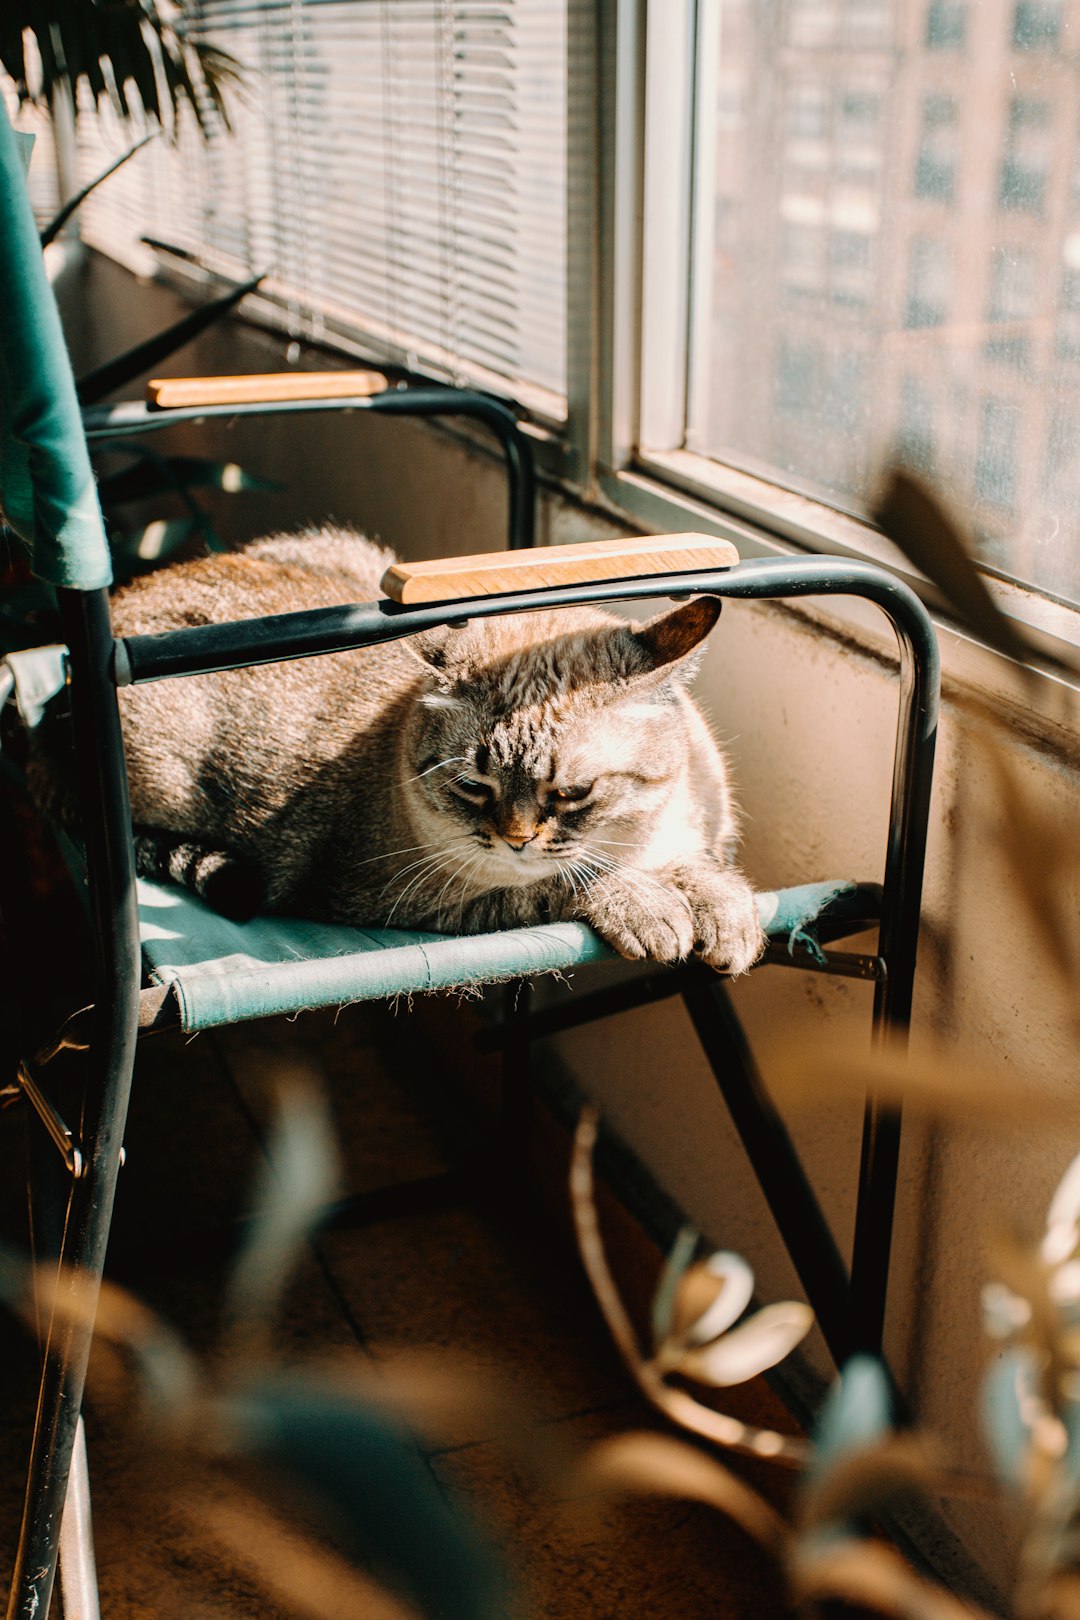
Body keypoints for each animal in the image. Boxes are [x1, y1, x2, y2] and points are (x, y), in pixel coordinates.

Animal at [105, 524, 761, 965]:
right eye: (473, 786)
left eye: (573, 793)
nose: (515, 839)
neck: (637, 838)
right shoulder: (407, 901)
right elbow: (560, 883)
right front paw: (649, 906)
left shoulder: (698, 837)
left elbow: (701, 870)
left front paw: (725, 911)